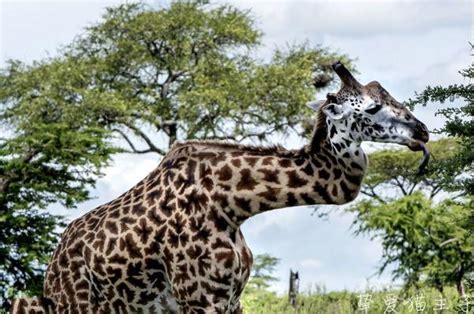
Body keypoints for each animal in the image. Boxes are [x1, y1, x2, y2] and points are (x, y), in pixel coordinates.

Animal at [10, 62, 430, 314]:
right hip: (73, 306)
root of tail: (51, 268)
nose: (422, 132)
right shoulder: (200, 299)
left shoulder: (232, 298)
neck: (233, 203)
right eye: (372, 108)